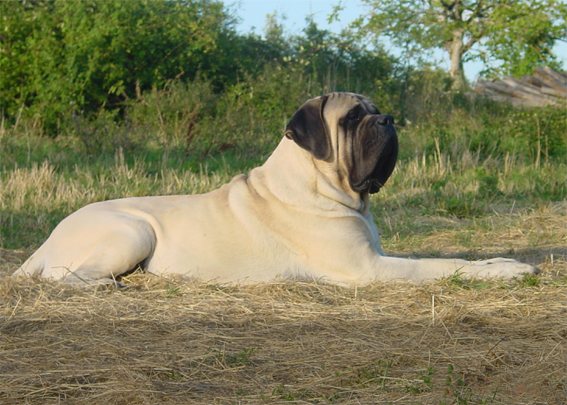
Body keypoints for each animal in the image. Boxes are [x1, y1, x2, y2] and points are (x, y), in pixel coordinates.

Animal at [12, 93, 536, 286]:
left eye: (375, 111)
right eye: (352, 119)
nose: (387, 120)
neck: (316, 186)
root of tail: (47, 239)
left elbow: (458, 258)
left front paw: (504, 262)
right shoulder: (368, 268)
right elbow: (437, 265)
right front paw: (506, 271)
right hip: (132, 232)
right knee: (66, 277)